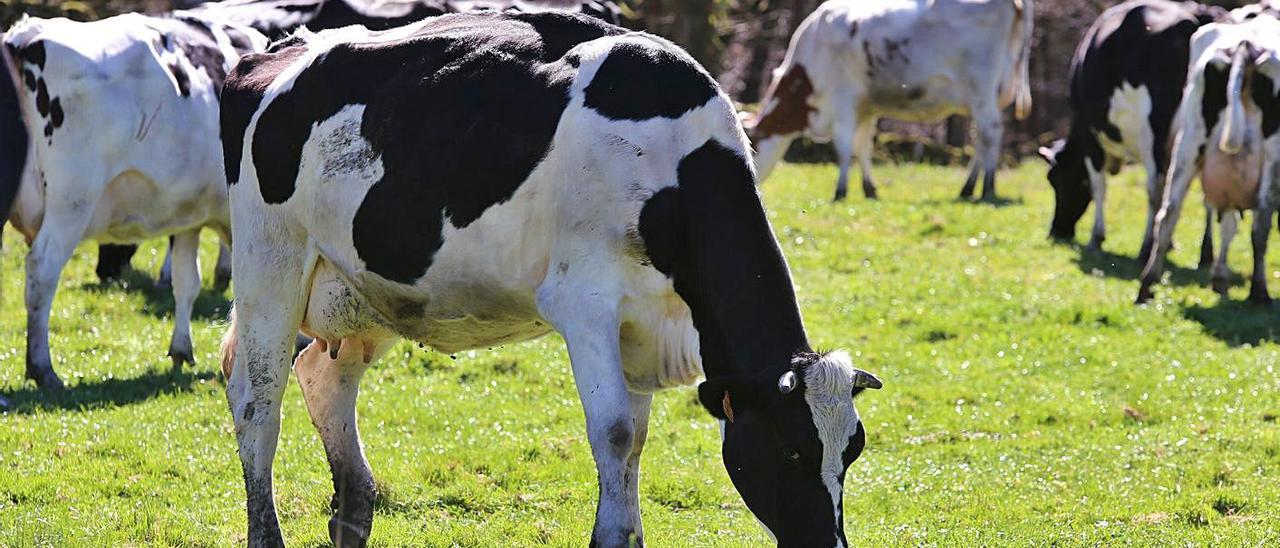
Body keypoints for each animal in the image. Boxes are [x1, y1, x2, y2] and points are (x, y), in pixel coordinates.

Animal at [0, 12, 267, 389]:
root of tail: (27, 35)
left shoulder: (189, 216)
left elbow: (187, 282)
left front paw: (181, 349)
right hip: (72, 201)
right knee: (42, 271)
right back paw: (42, 367)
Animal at [220, 9, 880, 548]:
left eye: (852, 450)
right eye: (792, 449)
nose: (828, 545)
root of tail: (275, 51)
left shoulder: (639, 326)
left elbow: (637, 440)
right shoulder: (585, 302)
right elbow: (615, 432)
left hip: (362, 294)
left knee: (323, 379)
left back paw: (353, 515)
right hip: (269, 265)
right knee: (258, 405)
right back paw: (267, 532)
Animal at [747, 0, 1029, 202]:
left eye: (753, 148)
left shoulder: (843, 100)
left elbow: (844, 147)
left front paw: (840, 191)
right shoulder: (866, 107)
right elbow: (862, 146)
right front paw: (869, 190)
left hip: (981, 87)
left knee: (989, 134)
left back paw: (987, 188)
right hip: (990, 95)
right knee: (981, 139)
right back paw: (968, 189)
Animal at [1034, 0, 1223, 257]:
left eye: (1055, 179)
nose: (1057, 231)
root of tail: (1194, 15)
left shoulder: (1089, 134)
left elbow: (1099, 184)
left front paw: (1097, 237)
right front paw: (1168, 242)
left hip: (1154, 131)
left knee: (1154, 186)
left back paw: (1146, 248)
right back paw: (1205, 254)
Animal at [1136, 13, 1280, 303]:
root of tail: (1247, 46)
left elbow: (1227, 225)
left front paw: (1219, 278)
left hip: (1189, 142)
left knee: (1168, 212)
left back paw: (1147, 284)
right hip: (1271, 155)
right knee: (1261, 226)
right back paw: (1259, 292)